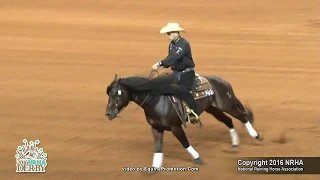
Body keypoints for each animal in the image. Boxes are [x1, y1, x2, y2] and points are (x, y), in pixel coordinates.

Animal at [105, 72, 262, 169]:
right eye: (108, 94)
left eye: (116, 94)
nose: (108, 113)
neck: (157, 100)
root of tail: (223, 81)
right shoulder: (156, 128)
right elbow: (158, 147)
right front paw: (155, 167)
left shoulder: (175, 127)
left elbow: (185, 143)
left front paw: (198, 159)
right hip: (213, 109)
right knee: (228, 121)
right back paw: (235, 144)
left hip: (227, 105)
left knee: (243, 117)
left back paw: (256, 136)